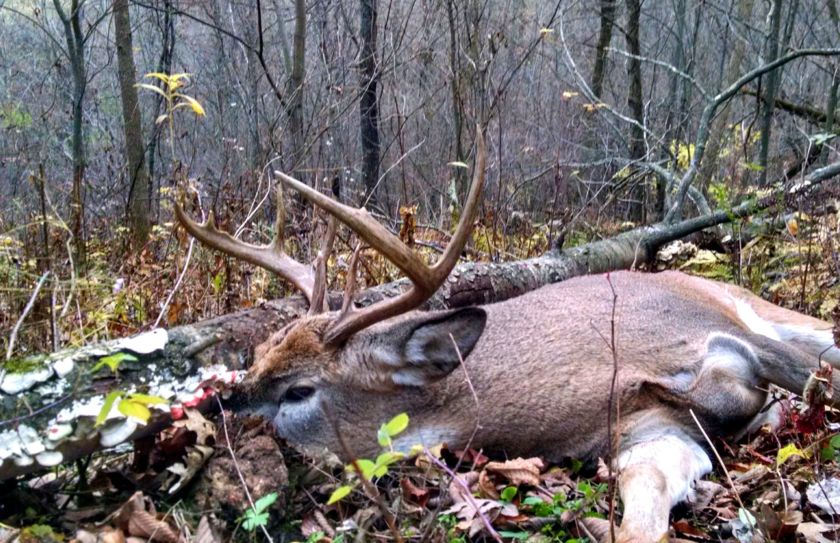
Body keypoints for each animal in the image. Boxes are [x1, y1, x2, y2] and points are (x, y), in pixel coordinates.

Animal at [176, 133, 840, 543]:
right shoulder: (649, 436)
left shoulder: (707, 330)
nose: (215, 409)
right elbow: (643, 512)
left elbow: (786, 375)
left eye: (299, 391)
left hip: (770, 313)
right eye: (257, 356)